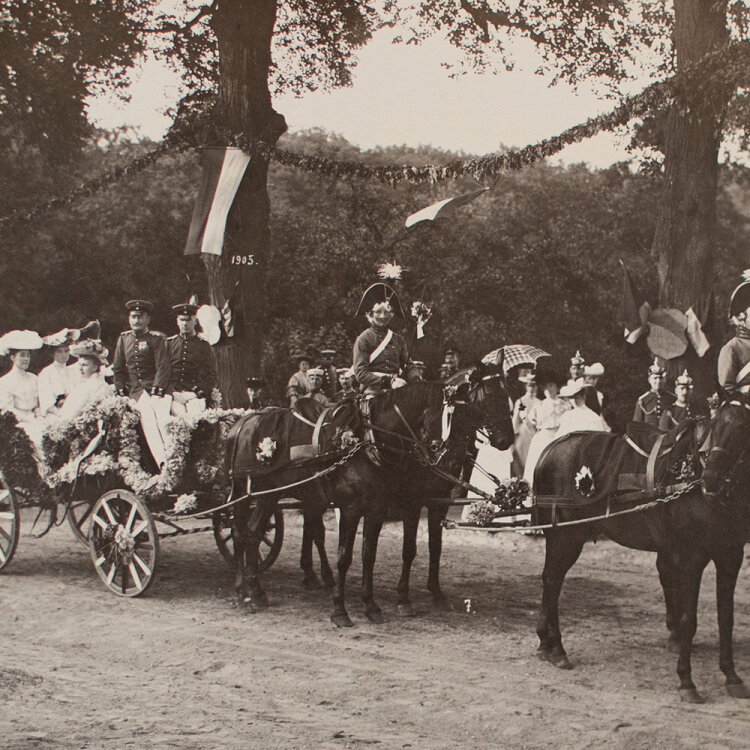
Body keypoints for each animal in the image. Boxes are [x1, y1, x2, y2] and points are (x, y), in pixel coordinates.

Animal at [532, 402, 750, 704]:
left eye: (742, 428)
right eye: (716, 426)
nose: (712, 480)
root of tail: (552, 448)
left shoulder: (730, 556)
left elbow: (725, 619)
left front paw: (732, 677)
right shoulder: (691, 557)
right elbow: (688, 620)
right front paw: (686, 681)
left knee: (552, 582)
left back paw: (548, 645)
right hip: (565, 537)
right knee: (553, 581)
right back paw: (556, 648)